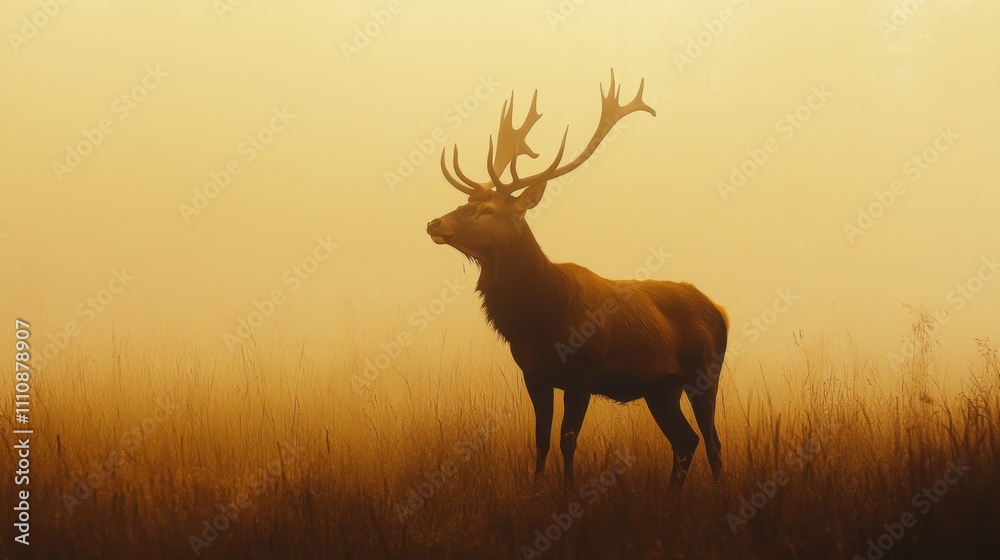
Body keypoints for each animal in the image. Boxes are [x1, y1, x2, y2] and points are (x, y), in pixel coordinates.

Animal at [426, 71, 729, 488]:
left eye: (487, 209)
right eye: (466, 203)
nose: (434, 223)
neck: (541, 318)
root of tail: (722, 313)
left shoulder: (583, 373)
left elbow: (568, 441)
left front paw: (568, 493)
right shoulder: (533, 374)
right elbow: (540, 440)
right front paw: (536, 490)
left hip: (705, 374)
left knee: (712, 440)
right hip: (660, 389)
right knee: (686, 440)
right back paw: (672, 495)